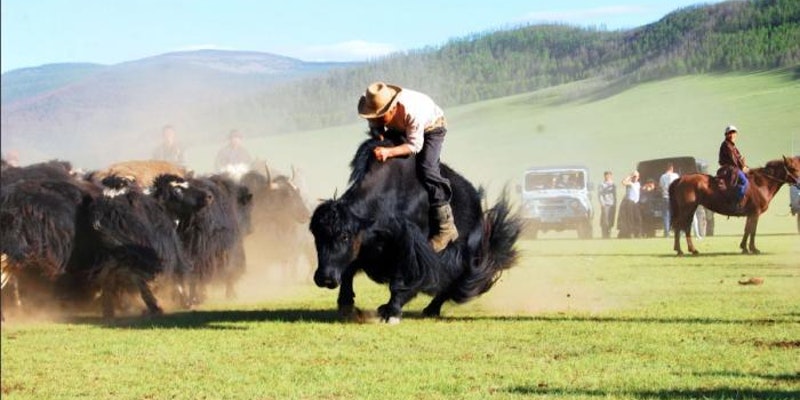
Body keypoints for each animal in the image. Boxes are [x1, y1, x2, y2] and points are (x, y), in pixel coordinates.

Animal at [668, 155, 800, 255]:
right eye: (793, 168)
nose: (799, 183)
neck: (761, 184)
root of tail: (681, 179)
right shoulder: (755, 213)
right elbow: (753, 230)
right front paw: (753, 248)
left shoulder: (750, 214)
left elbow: (747, 230)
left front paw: (744, 247)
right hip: (688, 209)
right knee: (683, 226)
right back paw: (687, 250)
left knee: (682, 226)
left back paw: (682, 249)